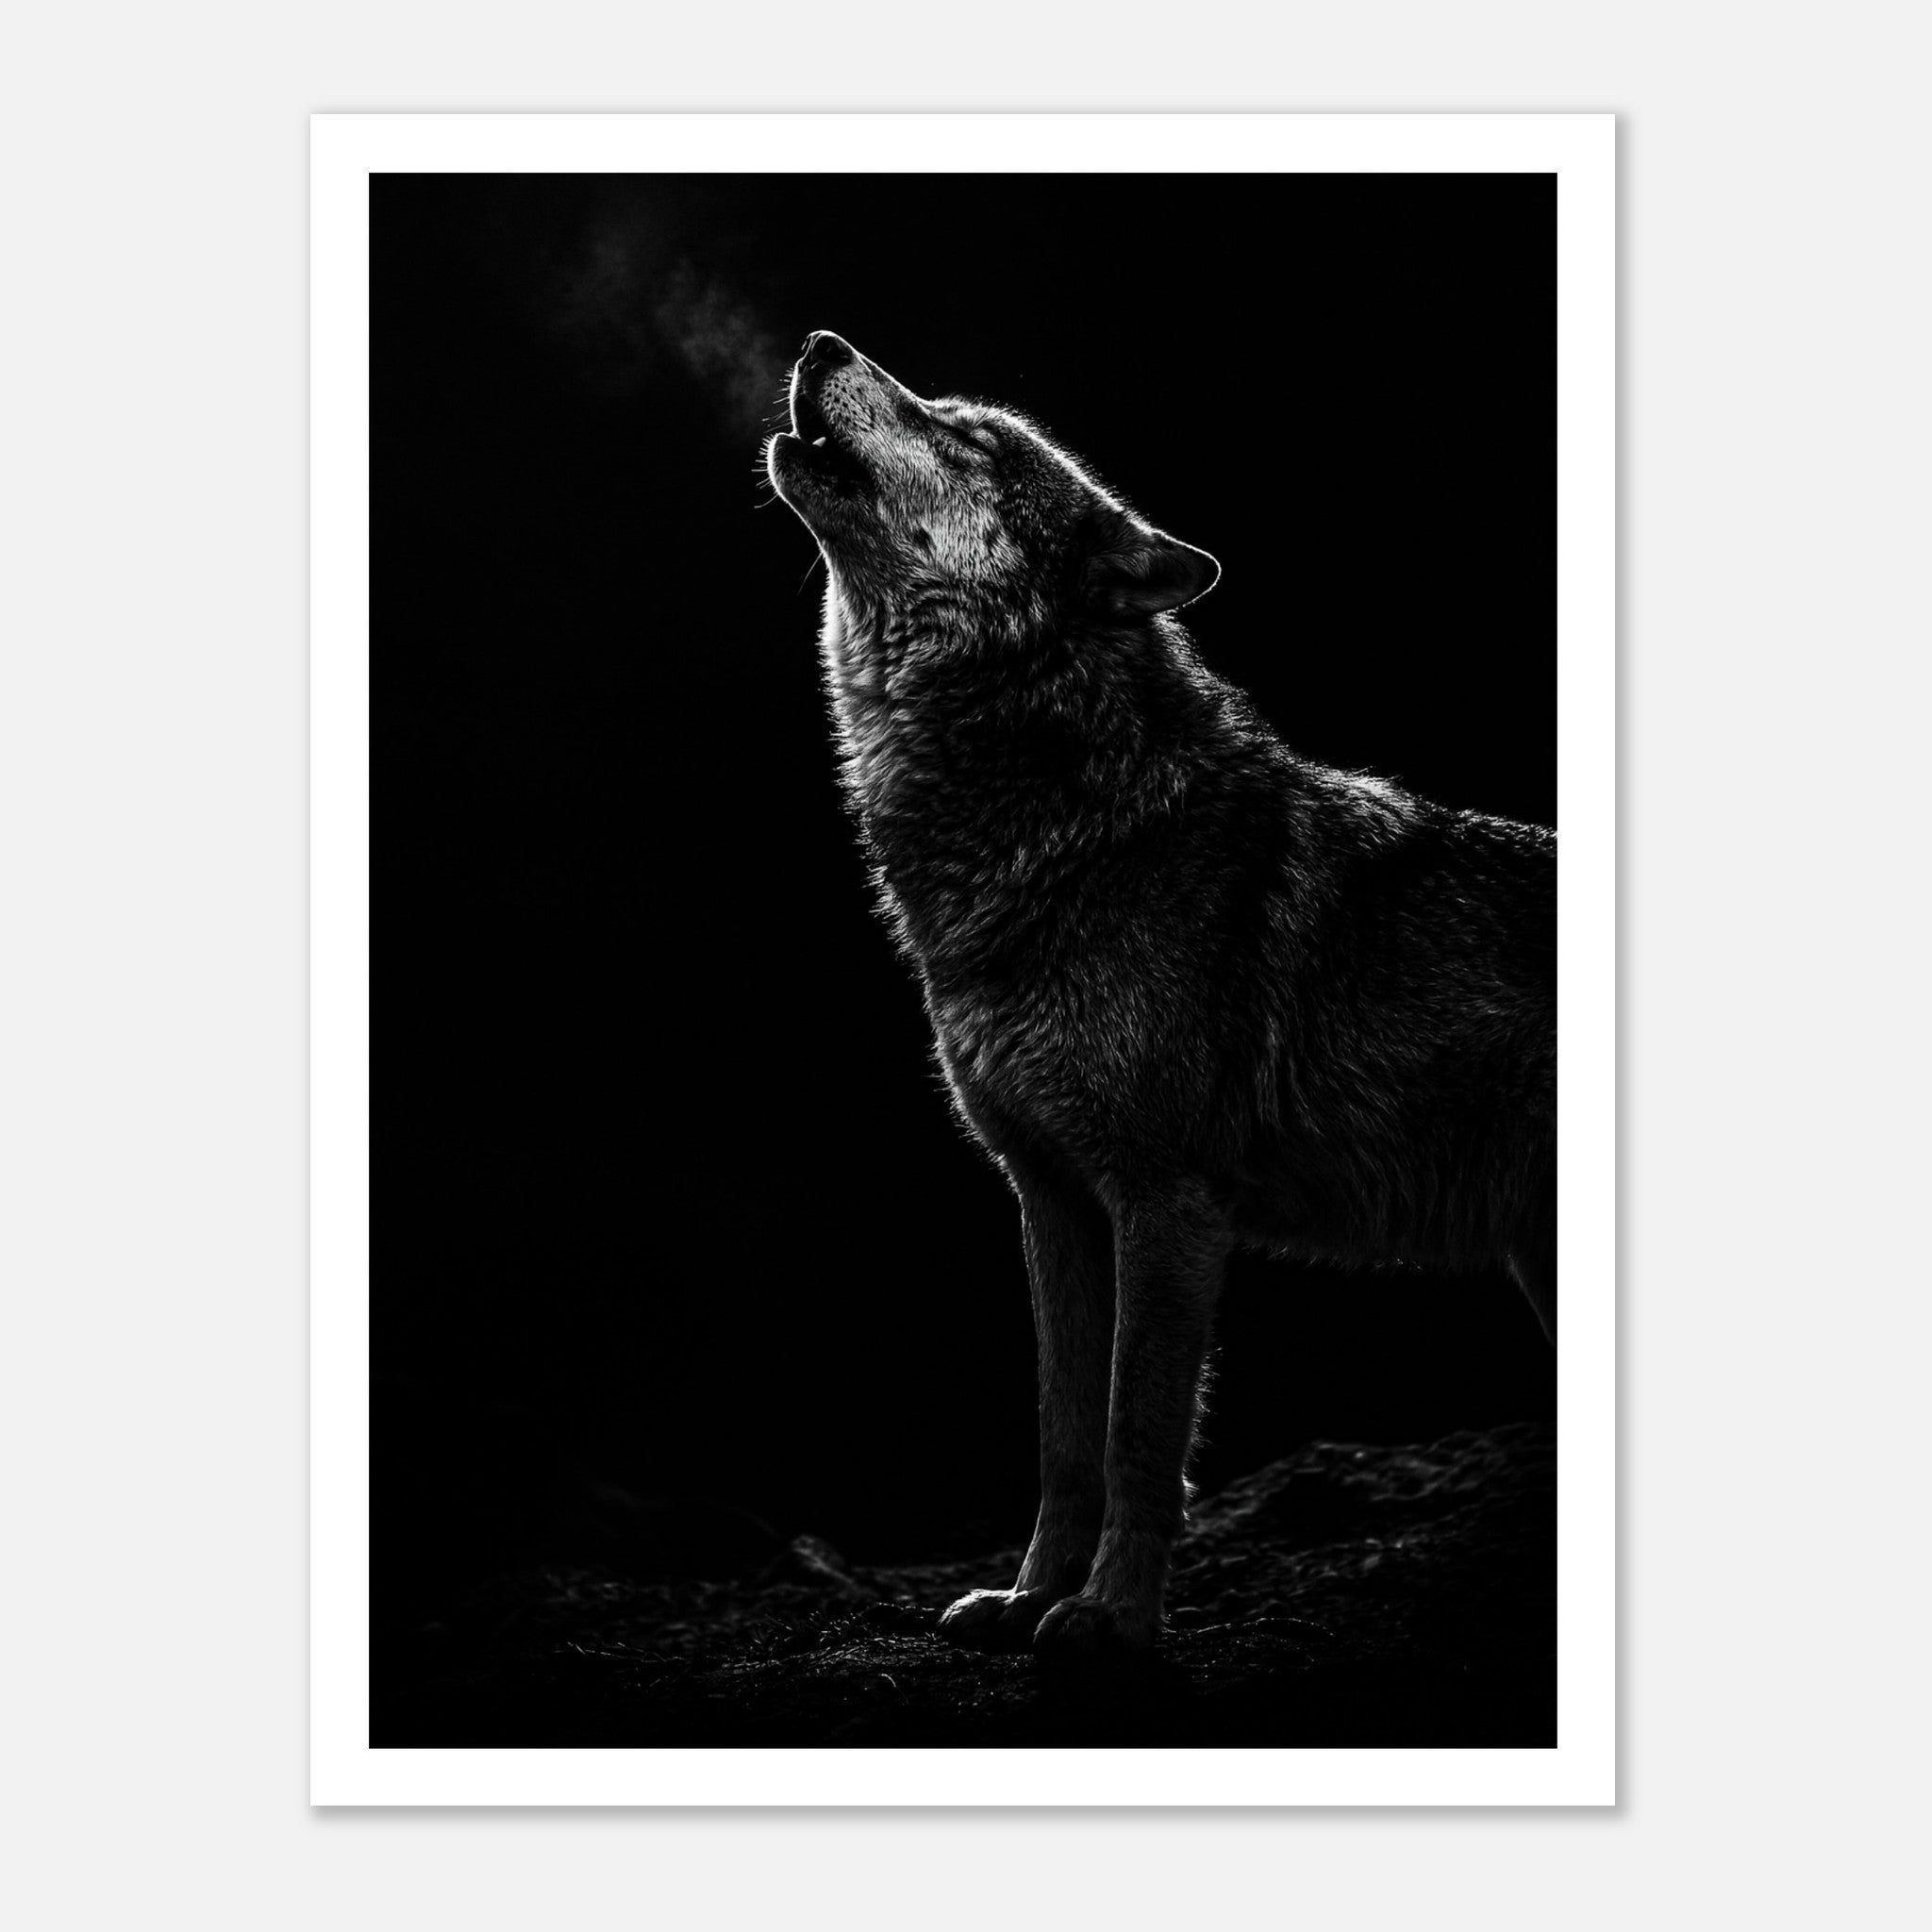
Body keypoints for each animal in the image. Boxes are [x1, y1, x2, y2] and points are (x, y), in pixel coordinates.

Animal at [765, 332, 1556, 1659]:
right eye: (945, 410)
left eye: (968, 436)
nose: (823, 342)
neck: (1074, 830)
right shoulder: (1049, 1200)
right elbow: (1063, 1435)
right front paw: (1029, 1597)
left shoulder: (1166, 1199)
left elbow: (1139, 1429)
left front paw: (1113, 1618)